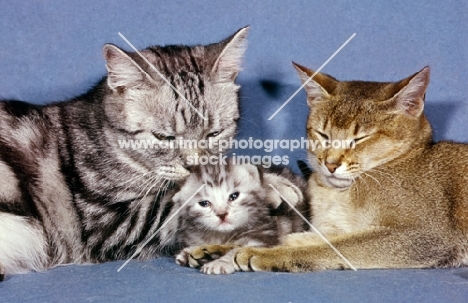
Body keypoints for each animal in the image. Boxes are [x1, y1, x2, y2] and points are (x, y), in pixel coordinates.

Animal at [172, 162, 308, 276]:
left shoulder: (264, 236)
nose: (222, 214)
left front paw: (220, 262)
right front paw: (191, 251)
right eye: (204, 203)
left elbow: (240, 251)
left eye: (234, 196)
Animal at [186, 63, 468, 274]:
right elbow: (302, 237)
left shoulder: (423, 235)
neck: (337, 193)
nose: (331, 164)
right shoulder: (338, 229)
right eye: (323, 134)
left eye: (360, 139)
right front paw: (218, 248)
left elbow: (329, 247)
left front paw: (259, 254)